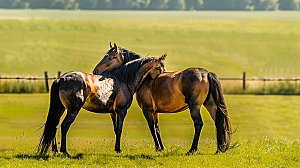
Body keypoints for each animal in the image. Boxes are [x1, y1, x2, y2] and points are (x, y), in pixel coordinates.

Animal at [37, 52, 166, 155]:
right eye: (161, 67)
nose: (164, 75)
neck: (123, 79)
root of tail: (61, 79)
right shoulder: (122, 110)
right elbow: (119, 129)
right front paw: (119, 149)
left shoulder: (113, 112)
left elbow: (116, 129)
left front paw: (116, 148)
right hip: (72, 110)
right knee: (64, 126)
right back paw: (64, 151)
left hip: (60, 108)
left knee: (54, 126)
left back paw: (55, 150)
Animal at [92, 43, 233, 154]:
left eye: (110, 57)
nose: (95, 71)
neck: (145, 78)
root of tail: (206, 73)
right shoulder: (154, 112)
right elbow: (157, 128)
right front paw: (161, 147)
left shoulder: (147, 110)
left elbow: (152, 128)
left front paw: (157, 148)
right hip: (210, 104)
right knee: (218, 122)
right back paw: (219, 149)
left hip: (195, 107)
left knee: (198, 124)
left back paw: (192, 149)